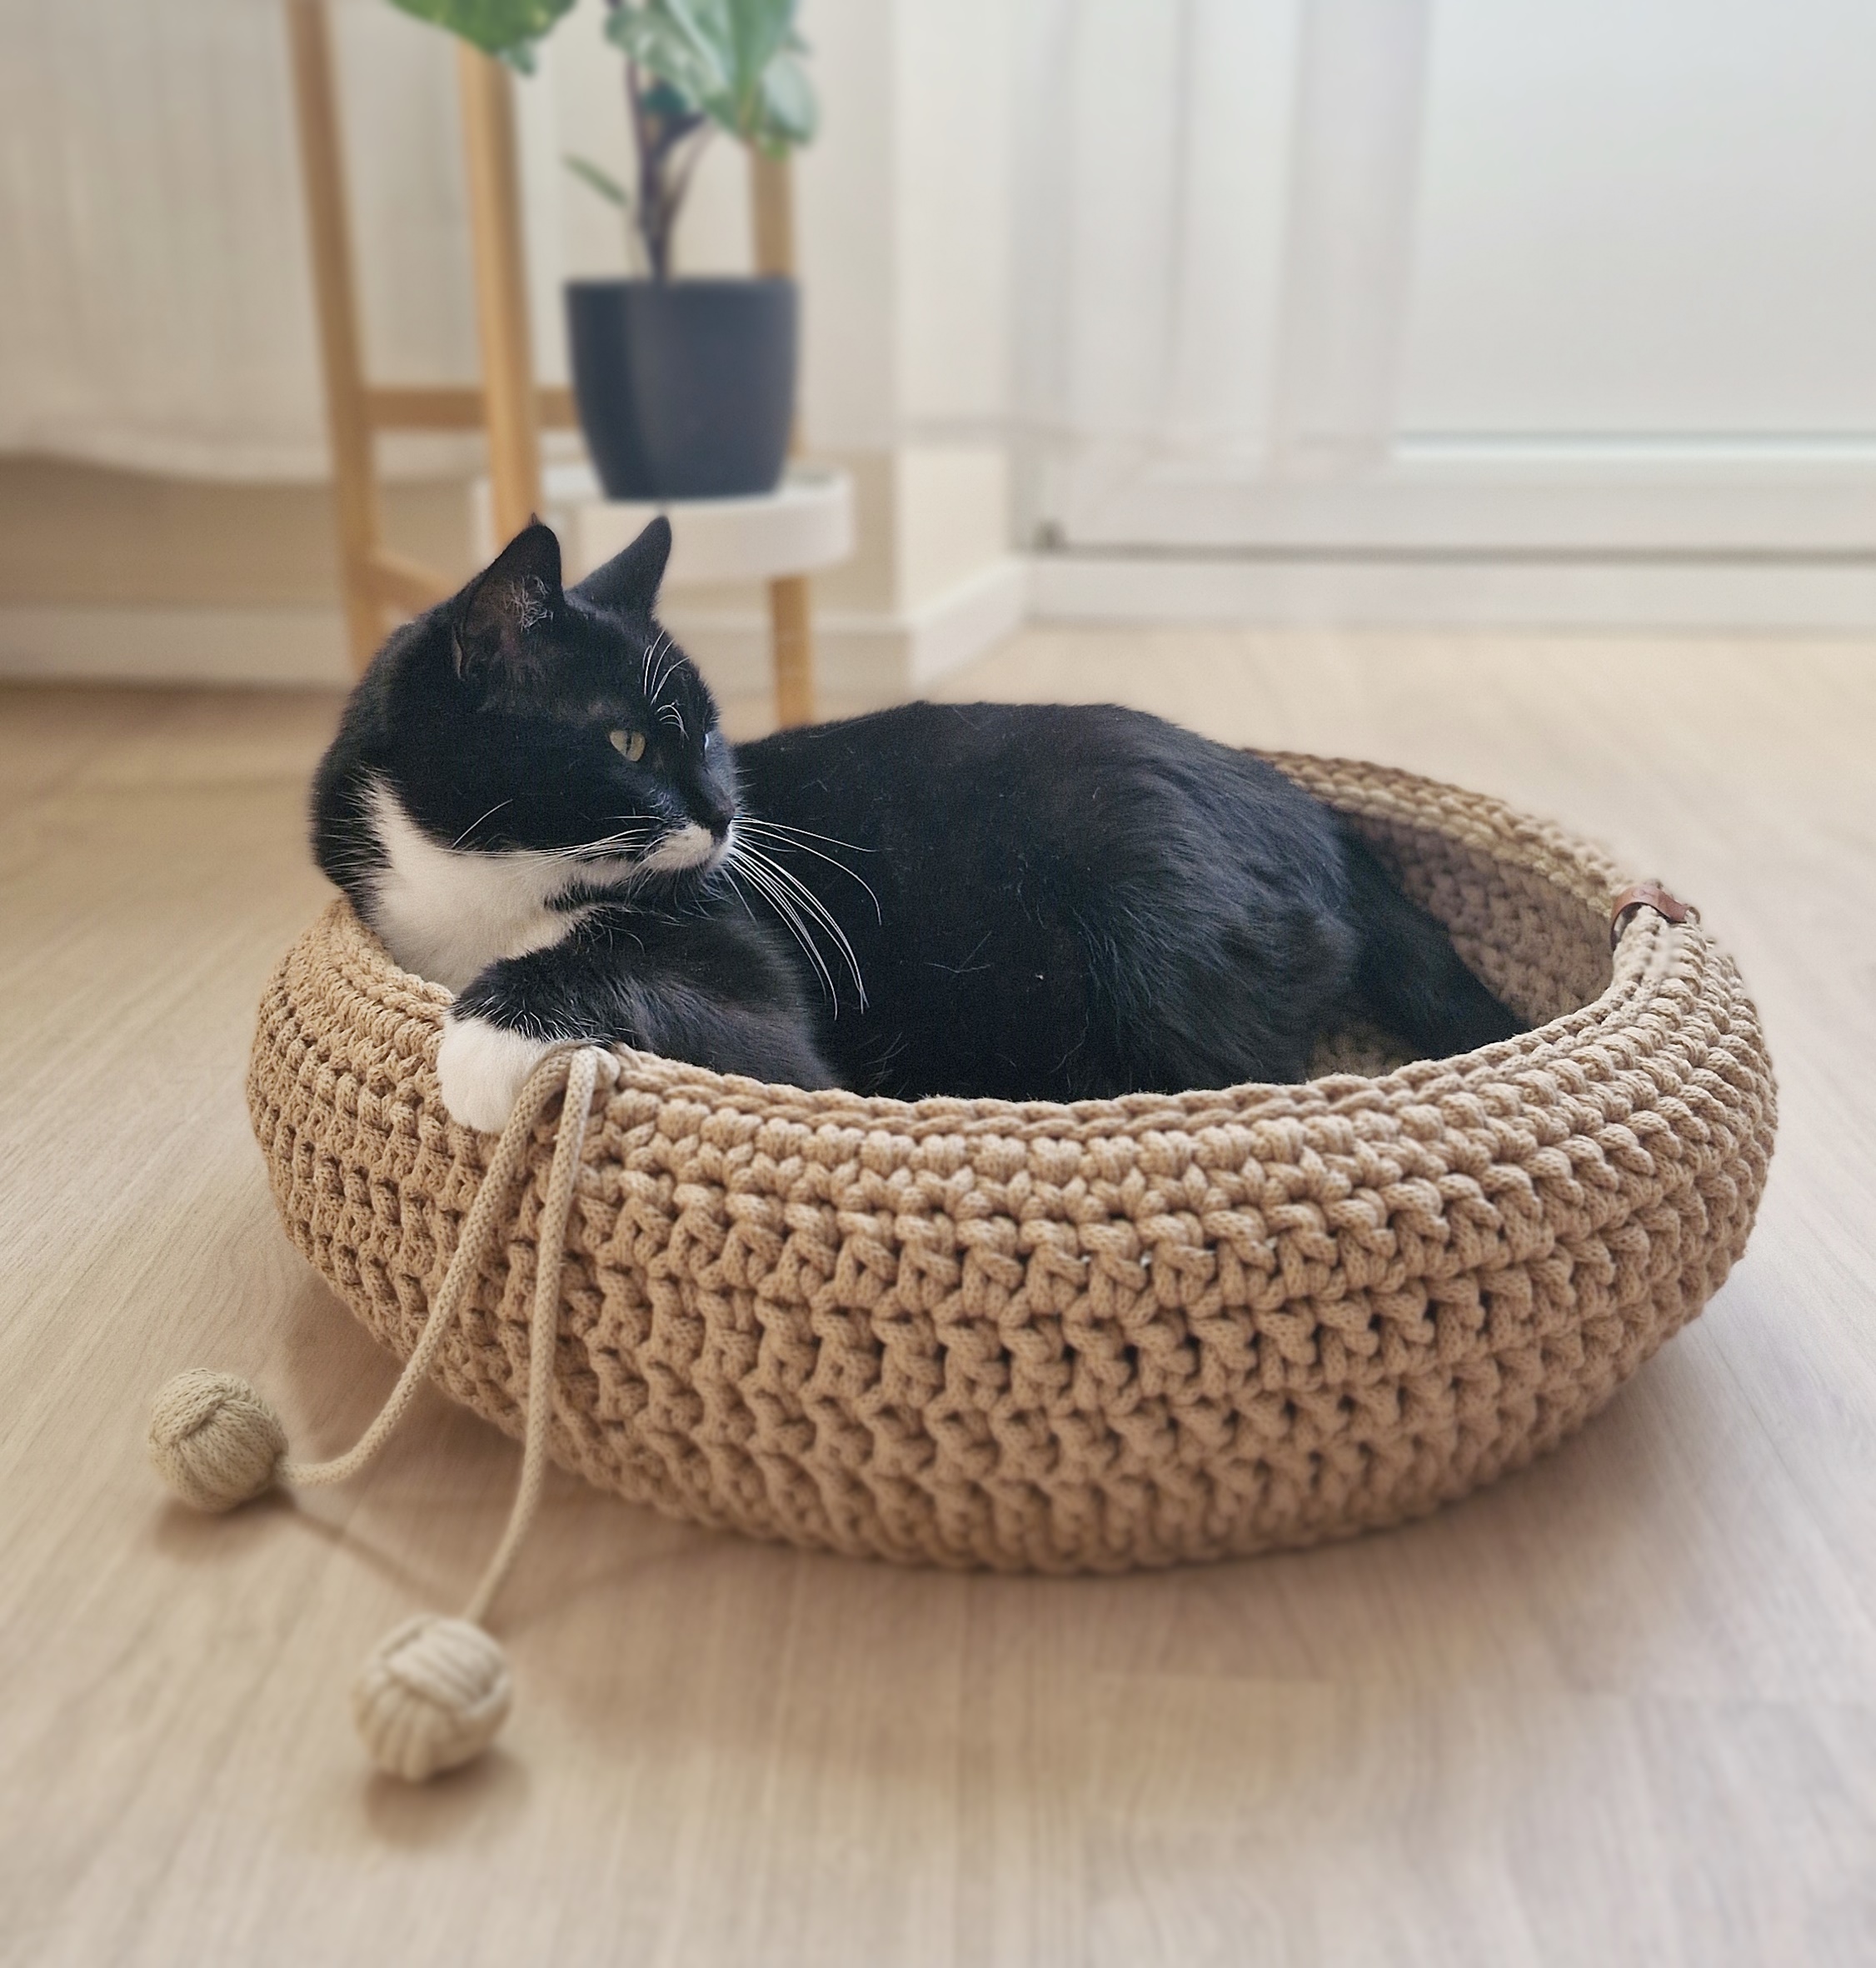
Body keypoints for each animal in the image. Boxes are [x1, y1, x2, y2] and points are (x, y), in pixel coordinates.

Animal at [312, 518, 1522, 1129]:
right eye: (628, 744)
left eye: (710, 736)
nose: (727, 813)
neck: (488, 887)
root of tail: (1313, 814)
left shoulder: (761, 996)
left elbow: (682, 995)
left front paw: (484, 1045)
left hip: (1154, 896)